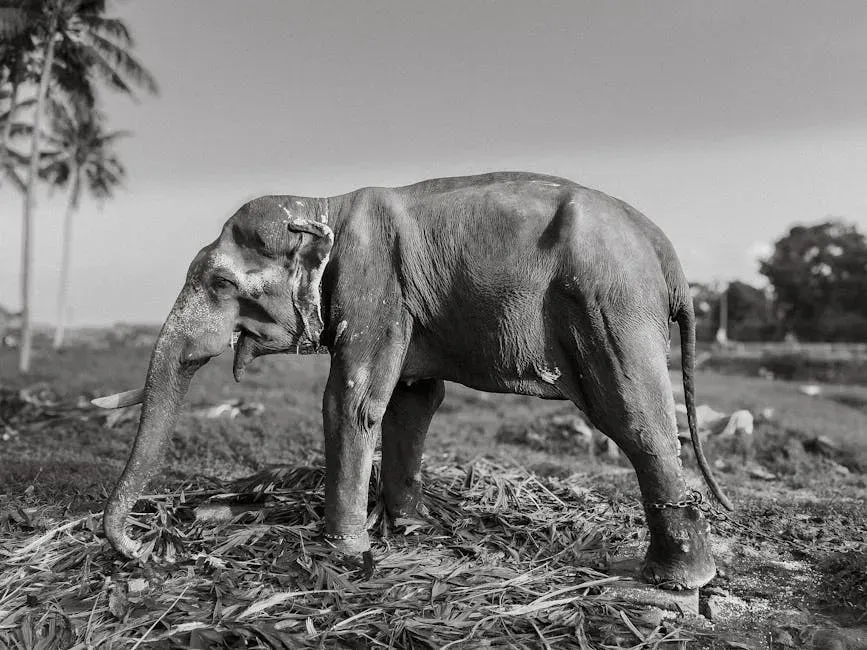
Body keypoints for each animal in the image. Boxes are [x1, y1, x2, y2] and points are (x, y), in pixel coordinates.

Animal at [94, 171, 732, 590]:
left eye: (221, 284)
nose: (147, 551)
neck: (325, 202)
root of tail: (669, 257)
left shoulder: (371, 283)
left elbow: (351, 401)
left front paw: (344, 554)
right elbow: (413, 399)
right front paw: (409, 528)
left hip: (611, 309)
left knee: (636, 420)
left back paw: (673, 583)